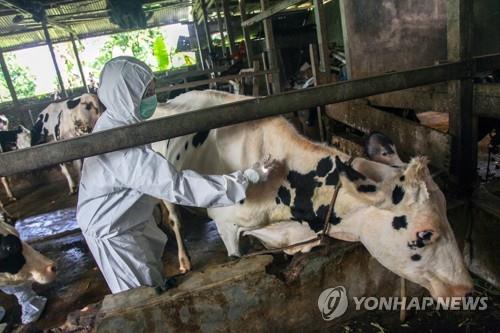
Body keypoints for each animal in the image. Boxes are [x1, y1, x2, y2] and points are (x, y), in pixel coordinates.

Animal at [151, 91, 472, 298]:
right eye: (424, 234)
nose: (466, 288)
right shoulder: (225, 224)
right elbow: (234, 254)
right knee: (174, 218)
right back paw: (183, 259)